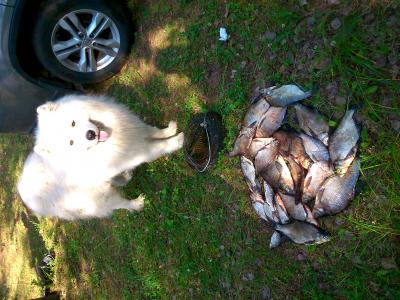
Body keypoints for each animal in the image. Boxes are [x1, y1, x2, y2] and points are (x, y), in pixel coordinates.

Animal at [16, 95, 183, 219]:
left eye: (73, 123)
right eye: (71, 142)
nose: (90, 135)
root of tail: (22, 188)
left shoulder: (135, 133)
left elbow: (153, 131)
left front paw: (169, 130)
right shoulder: (138, 153)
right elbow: (158, 146)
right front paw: (176, 141)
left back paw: (126, 176)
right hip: (96, 199)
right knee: (118, 204)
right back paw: (136, 204)